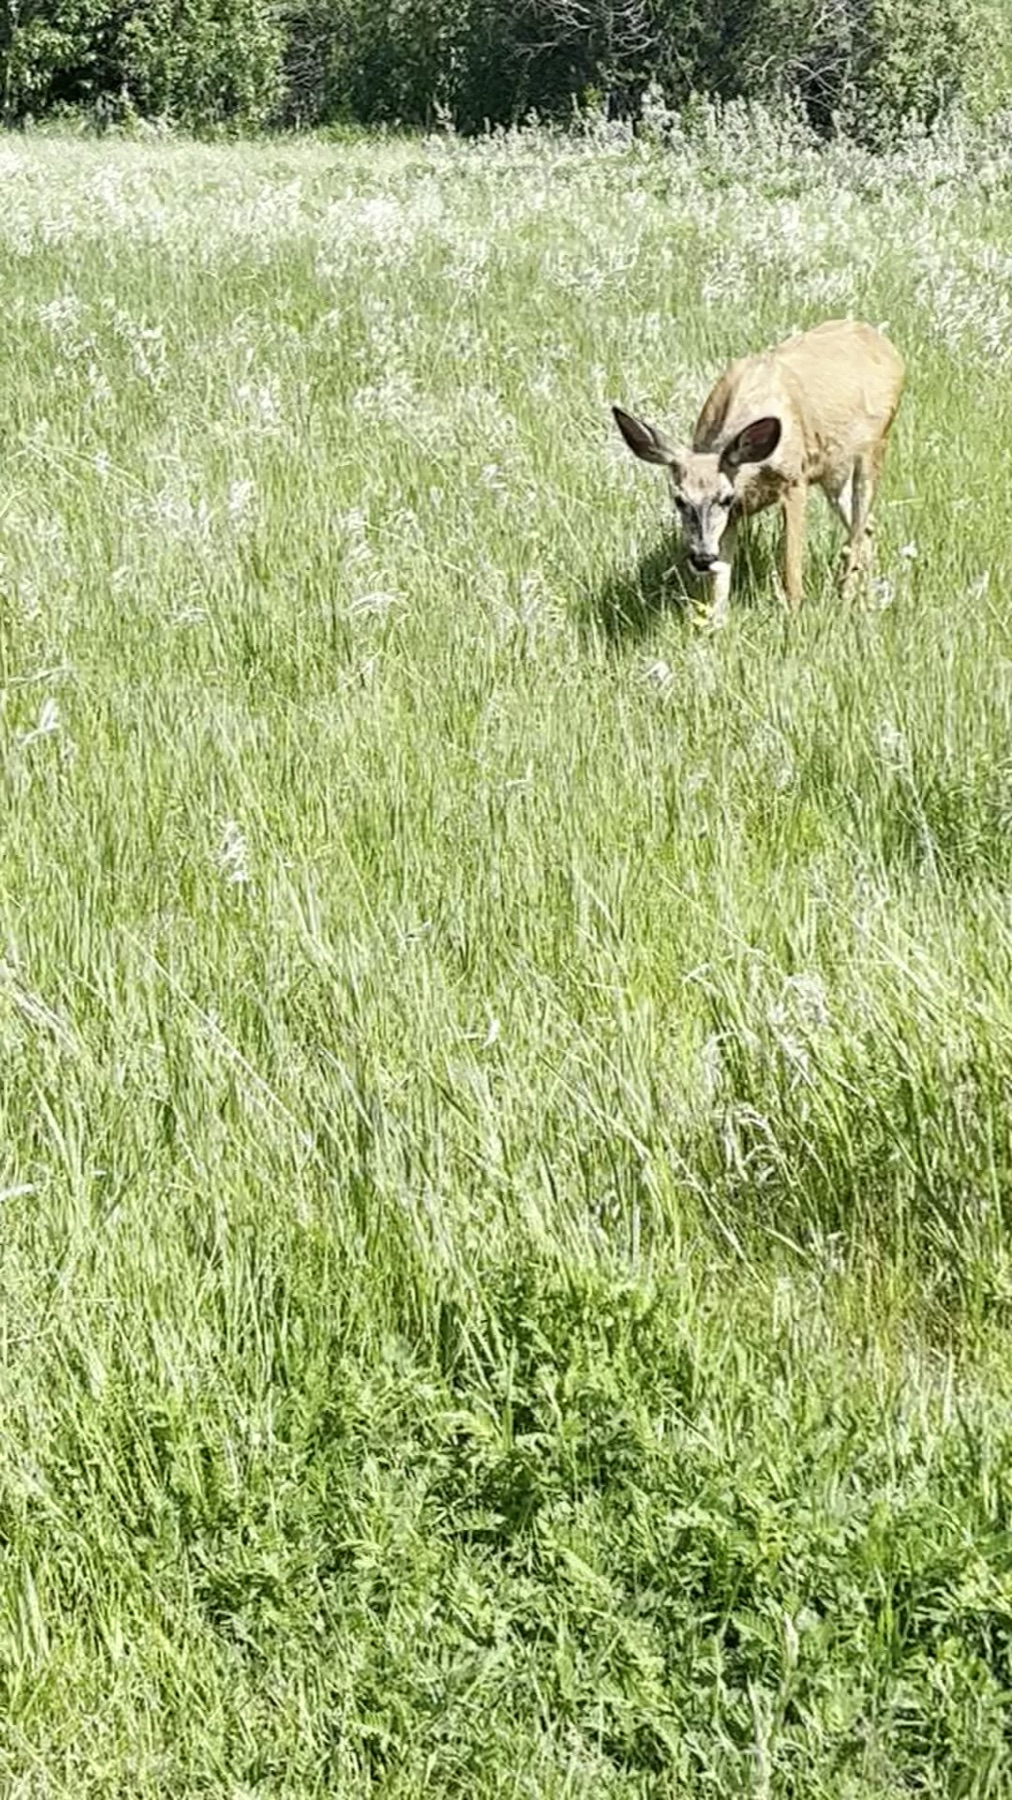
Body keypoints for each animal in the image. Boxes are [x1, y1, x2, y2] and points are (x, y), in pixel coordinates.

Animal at [612, 319, 904, 627]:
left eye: (724, 498)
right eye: (679, 500)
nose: (702, 558)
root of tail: (885, 344)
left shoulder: (794, 480)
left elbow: (791, 567)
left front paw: (794, 617)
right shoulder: (735, 511)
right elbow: (721, 580)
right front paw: (716, 626)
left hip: (875, 446)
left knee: (858, 530)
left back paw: (848, 598)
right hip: (835, 470)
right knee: (867, 524)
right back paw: (868, 595)